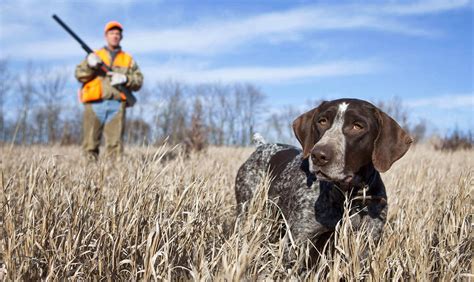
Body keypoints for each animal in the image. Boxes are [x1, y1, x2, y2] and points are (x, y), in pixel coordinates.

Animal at [235, 98, 412, 256]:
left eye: (358, 126)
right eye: (322, 121)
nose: (318, 156)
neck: (348, 194)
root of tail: (262, 146)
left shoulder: (367, 241)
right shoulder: (297, 241)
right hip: (247, 209)